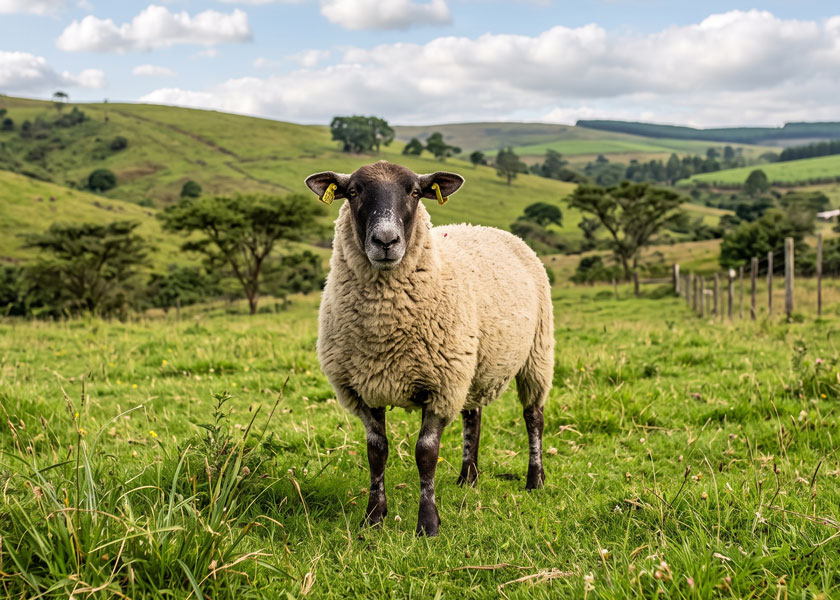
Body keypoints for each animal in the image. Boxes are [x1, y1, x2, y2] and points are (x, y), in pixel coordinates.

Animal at [305, 161, 554, 536]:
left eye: (414, 192)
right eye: (353, 192)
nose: (386, 241)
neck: (385, 328)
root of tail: (483, 227)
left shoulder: (440, 387)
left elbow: (426, 454)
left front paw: (428, 523)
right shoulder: (364, 388)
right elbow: (376, 452)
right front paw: (373, 517)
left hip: (537, 353)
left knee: (533, 416)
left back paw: (534, 479)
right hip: (470, 364)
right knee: (473, 415)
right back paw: (468, 478)